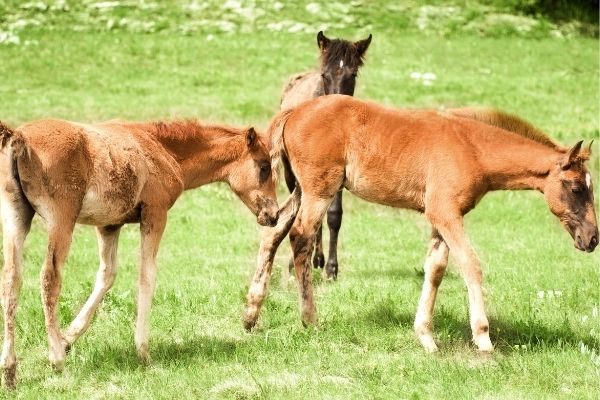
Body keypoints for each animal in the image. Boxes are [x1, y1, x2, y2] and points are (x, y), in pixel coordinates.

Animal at [0, 119, 278, 388]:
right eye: (264, 167)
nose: (273, 215)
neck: (164, 149)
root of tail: (19, 137)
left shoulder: (109, 225)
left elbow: (107, 275)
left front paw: (68, 338)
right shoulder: (155, 213)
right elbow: (147, 276)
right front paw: (143, 352)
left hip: (16, 218)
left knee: (11, 280)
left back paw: (10, 370)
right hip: (62, 219)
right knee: (49, 278)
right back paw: (56, 359)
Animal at [245, 96, 600, 354]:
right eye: (577, 188)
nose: (592, 238)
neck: (473, 148)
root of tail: (295, 111)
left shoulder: (440, 216)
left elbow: (436, 270)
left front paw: (427, 338)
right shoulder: (445, 213)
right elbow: (471, 265)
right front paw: (483, 340)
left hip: (300, 189)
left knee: (273, 231)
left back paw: (250, 315)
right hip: (320, 190)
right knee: (300, 237)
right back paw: (310, 319)